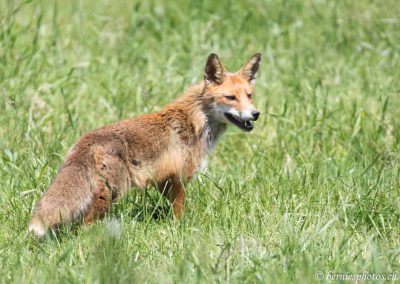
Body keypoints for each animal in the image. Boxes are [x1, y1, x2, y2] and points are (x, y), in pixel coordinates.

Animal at [28, 53, 262, 237]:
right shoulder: (179, 177)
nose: (255, 114)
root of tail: (85, 140)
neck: (196, 121)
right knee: (84, 226)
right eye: (230, 97)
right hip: (110, 194)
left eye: (249, 96)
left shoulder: (164, 180)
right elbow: (179, 214)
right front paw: (180, 231)